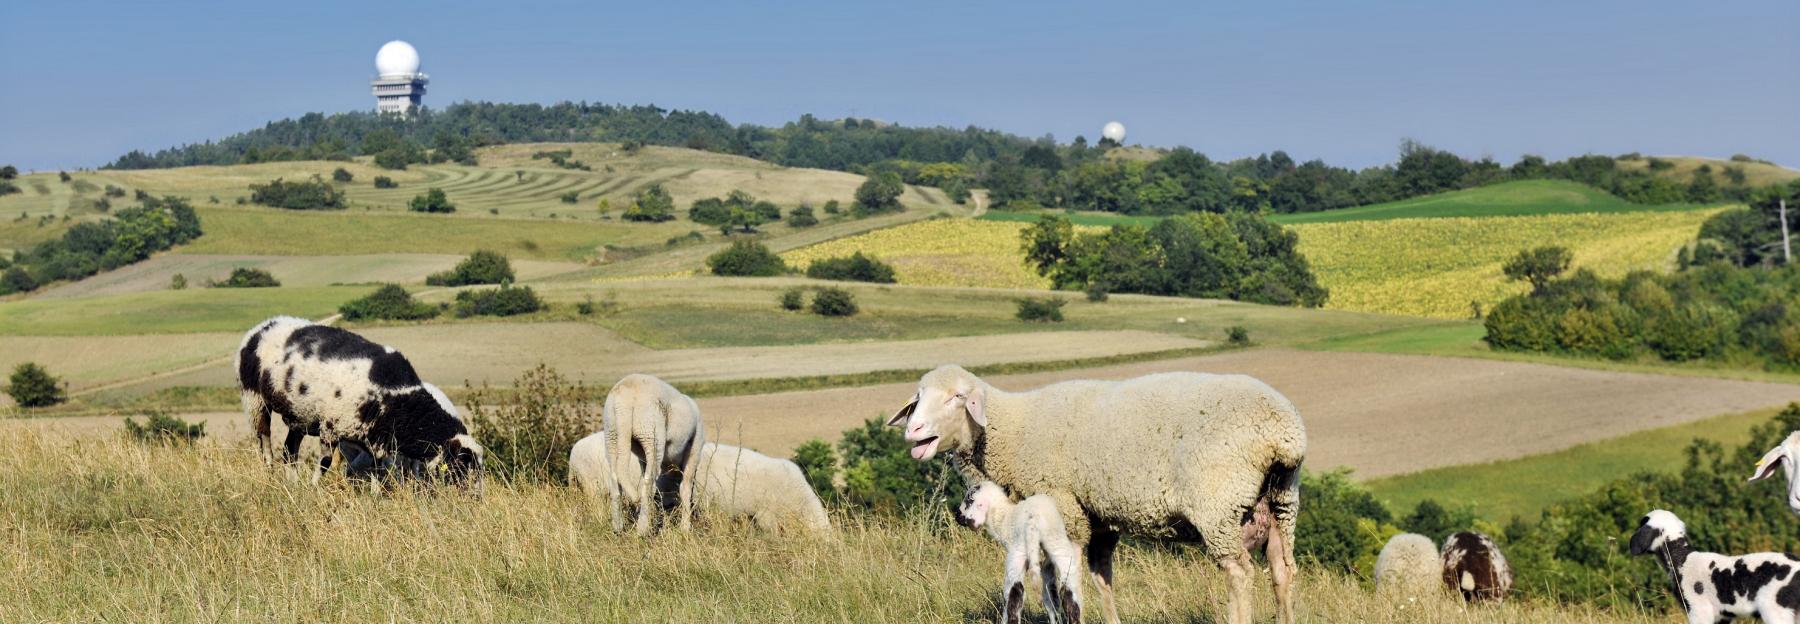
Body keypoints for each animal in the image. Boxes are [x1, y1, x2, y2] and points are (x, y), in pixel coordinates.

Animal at [234, 314, 486, 492]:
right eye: (462, 465)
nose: (476, 498)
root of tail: (261, 327)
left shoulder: (371, 439)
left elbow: (375, 470)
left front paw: (375, 498)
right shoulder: (331, 425)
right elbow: (325, 462)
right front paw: (314, 488)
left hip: (300, 415)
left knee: (289, 451)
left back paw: (292, 484)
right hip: (254, 399)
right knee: (265, 442)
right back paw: (270, 475)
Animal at [594, 375, 698, 539]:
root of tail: (624, 399)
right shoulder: (695, 447)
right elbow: (686, 487)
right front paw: (685, 529)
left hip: (612, 432)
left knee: (615, 478)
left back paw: (618, 527)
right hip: (651, 433)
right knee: (649, 482)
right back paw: (642, 529)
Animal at [957, 481, 1080, 624]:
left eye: (969, 501)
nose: (957, 516)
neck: (1002, 519)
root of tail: (1033, 519)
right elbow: (1050, 595)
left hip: (1018, 553)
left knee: (1015, 593)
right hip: (1058, 544)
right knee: (1068, 590)